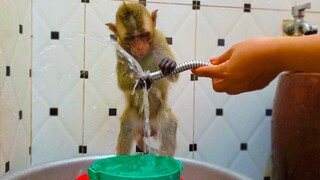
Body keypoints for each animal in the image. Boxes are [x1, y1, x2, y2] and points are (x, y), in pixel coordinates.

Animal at [106, 3, 179, 158]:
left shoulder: (159, 38)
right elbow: (121, 82)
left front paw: (169, 64)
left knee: (169, 126)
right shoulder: (119, 48)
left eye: (143, 35)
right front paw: (140, 81)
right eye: (131, 38)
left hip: (160, 118)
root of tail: (148, 129)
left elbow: (175, 76)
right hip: (136, 118)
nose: (139, 47)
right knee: (127, 128)